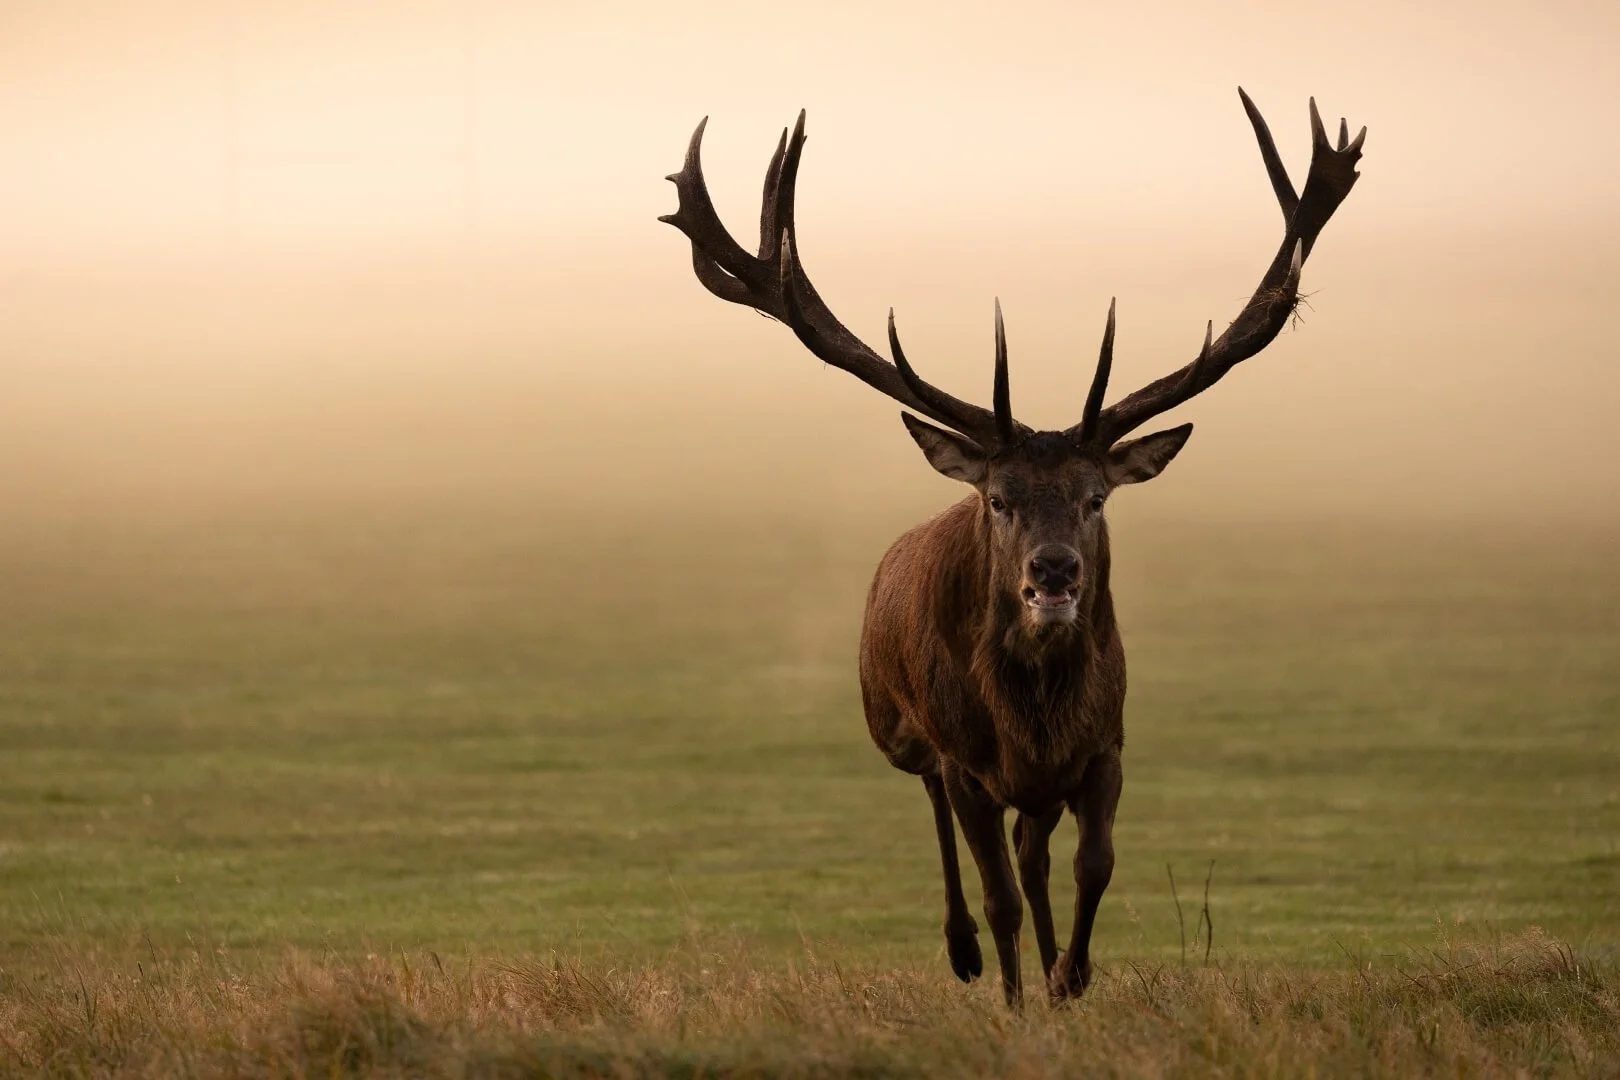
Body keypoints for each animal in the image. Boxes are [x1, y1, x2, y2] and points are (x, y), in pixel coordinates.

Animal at [660, 89, 1365, 1007]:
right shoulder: (967, 763)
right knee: (945, 819)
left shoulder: (1107, 746)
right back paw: (962, 950)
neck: (1036, 718)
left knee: (1035, 858)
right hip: (895, 727)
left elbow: (1093, 864)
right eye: (998, 499)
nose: (1054, 572)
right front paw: (1015, 998)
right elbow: (996, 894)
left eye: (1097, 497)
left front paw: (1073, 975)